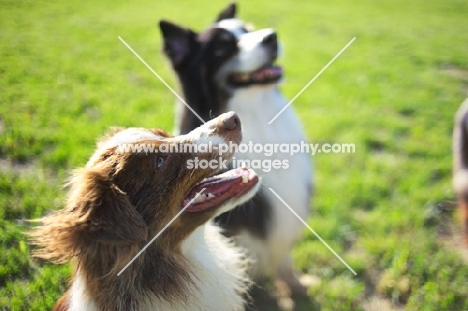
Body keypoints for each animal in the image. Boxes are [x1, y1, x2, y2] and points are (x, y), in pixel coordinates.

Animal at [160, 3, 314, 298]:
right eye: (223, 48)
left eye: (248, 30)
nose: (271, 37)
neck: (255, 114)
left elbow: (285, 261)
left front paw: (296, 286)